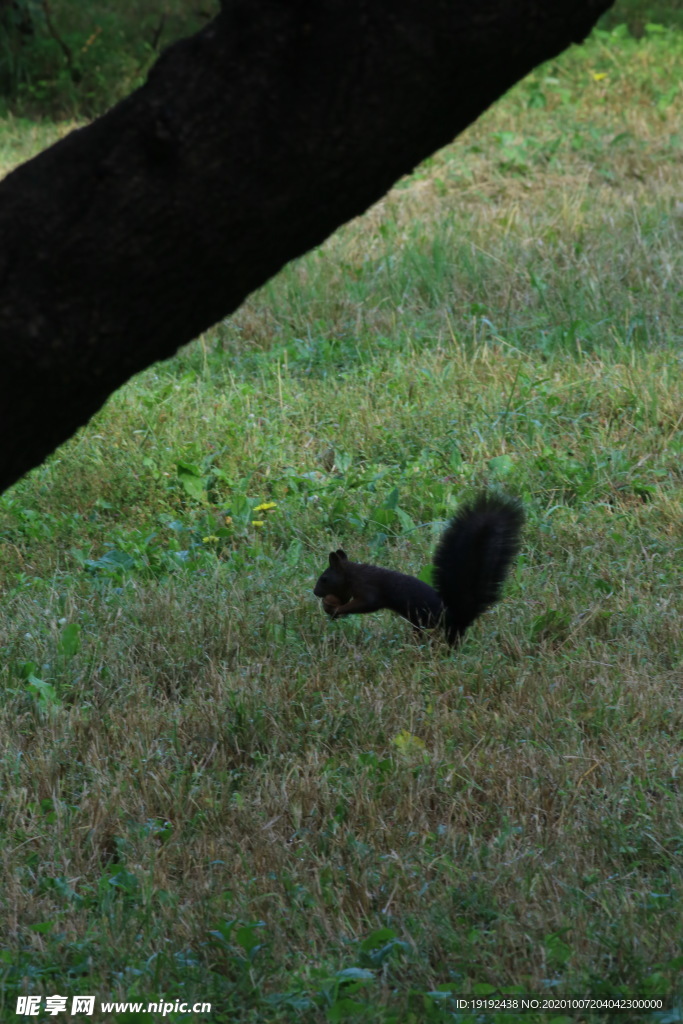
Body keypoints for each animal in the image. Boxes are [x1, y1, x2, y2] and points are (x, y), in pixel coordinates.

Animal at [313, 491, 524, 643]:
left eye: (324, 579)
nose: (315, 592)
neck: (353, 574)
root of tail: (458, 614)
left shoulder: (368, 588)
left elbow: (368, 603)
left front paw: (338, 610)